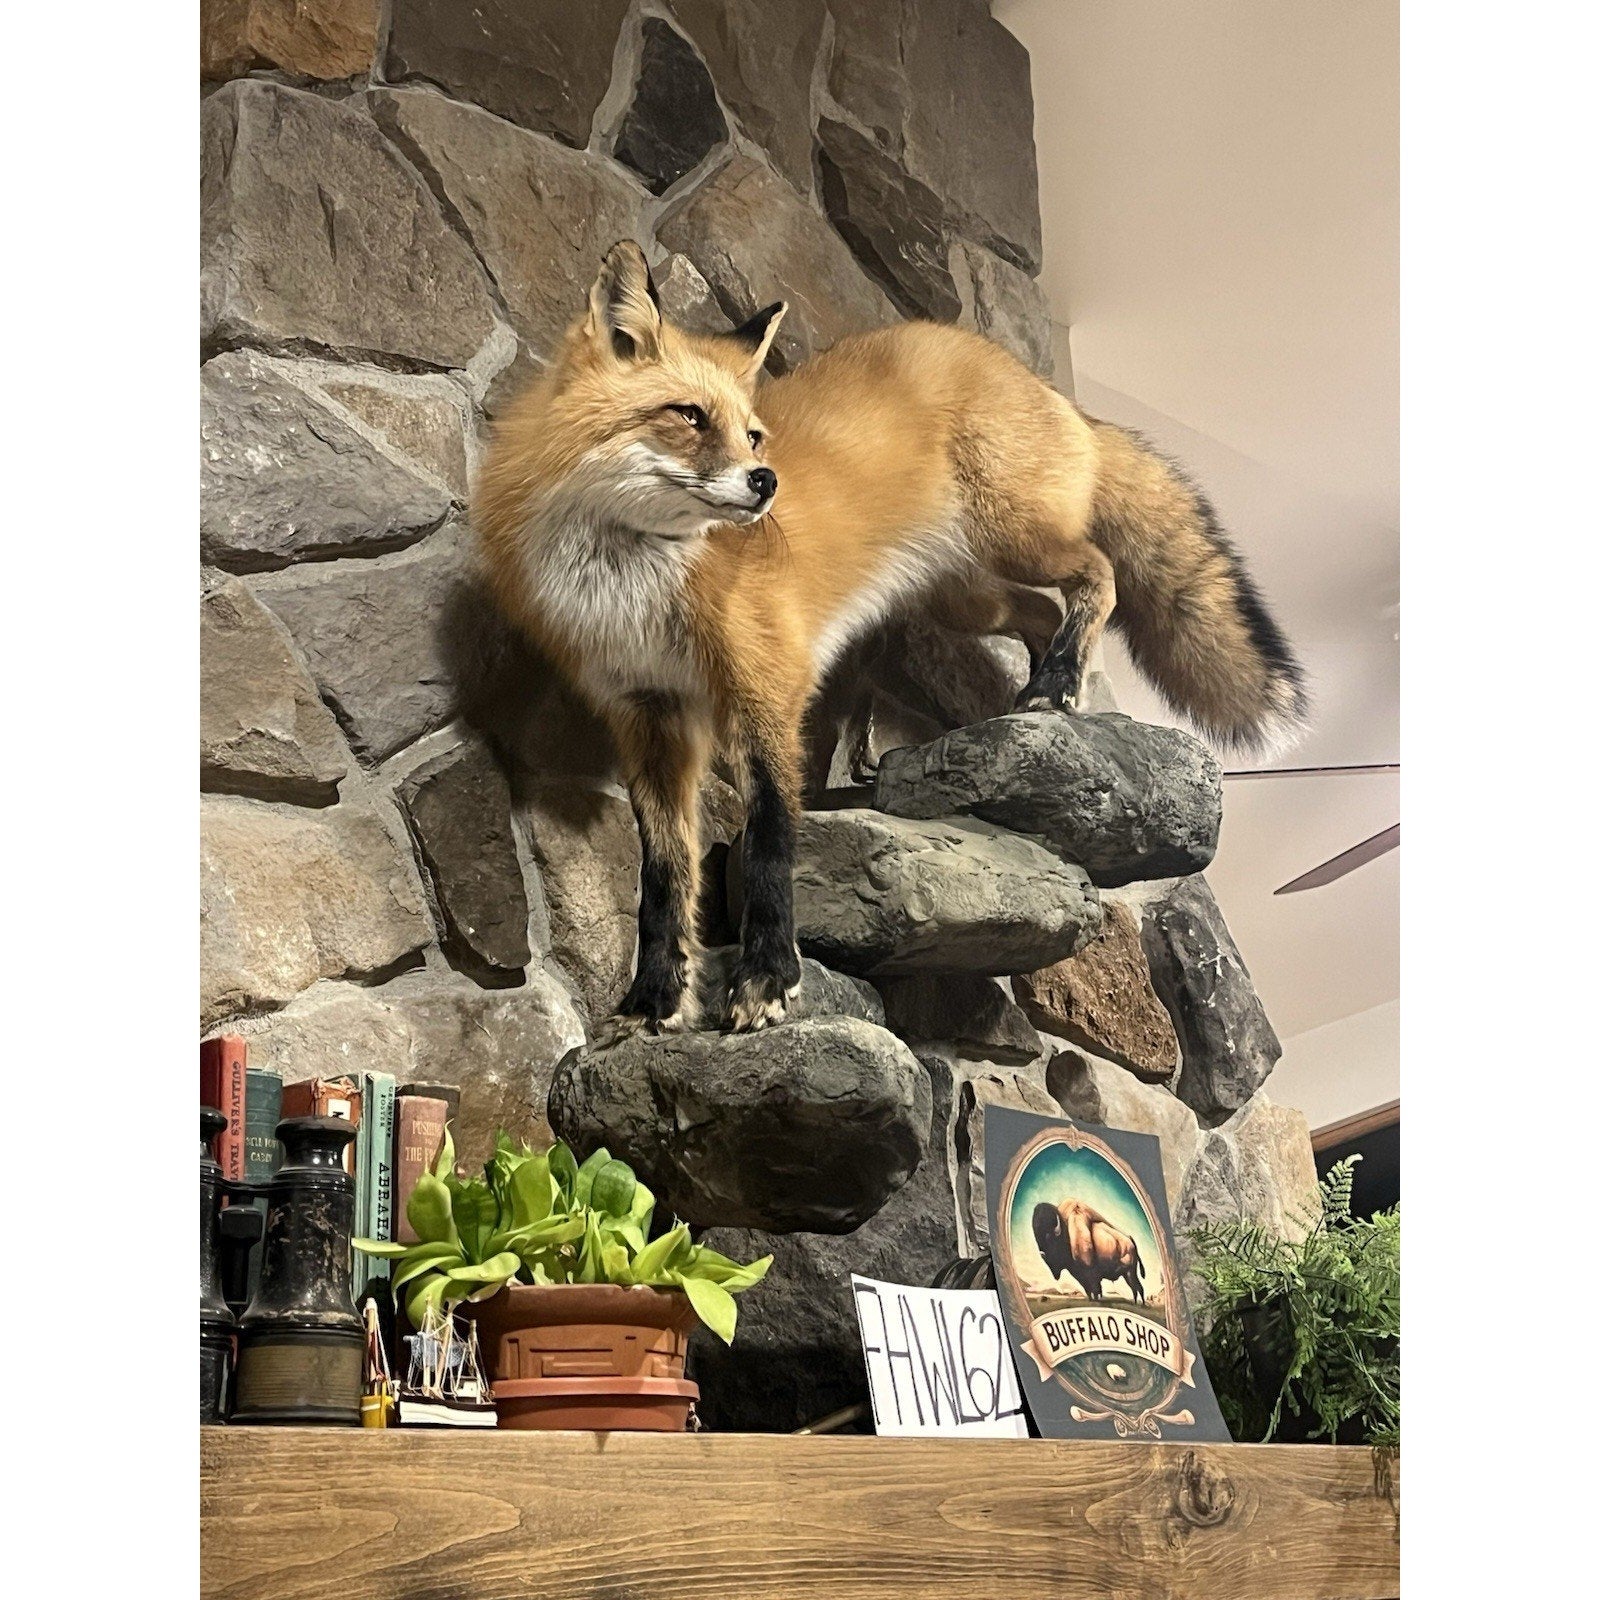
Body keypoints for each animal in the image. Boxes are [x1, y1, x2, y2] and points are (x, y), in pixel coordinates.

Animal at [475, 241, 1306, 1040]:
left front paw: (765, 982)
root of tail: (1050, 388)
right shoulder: (649, 721)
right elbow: (663, 881)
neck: (631, 587)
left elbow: (770, 841)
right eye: (688, 415)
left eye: (751, 434)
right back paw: (1037, 699)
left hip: (1013, 540)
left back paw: (1058, 686)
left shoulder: (768, 689)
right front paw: (651, 1002)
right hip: (969, 597)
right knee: (1041, 615)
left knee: (1099, 576)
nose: (766, 482)